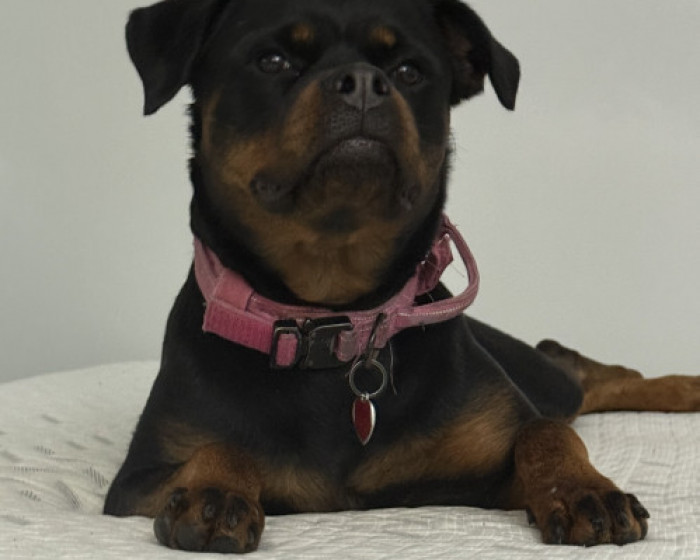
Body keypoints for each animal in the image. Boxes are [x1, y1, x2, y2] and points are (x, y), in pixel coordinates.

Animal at [104, 0, 700, 553]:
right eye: (272, 61)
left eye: (411, 71)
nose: (365, 82)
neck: (333, 322)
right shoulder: (134, 486)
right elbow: (222, 446)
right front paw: (215, 493)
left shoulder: (484, 475)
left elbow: (544, 432)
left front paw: (582, 490)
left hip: (542, 379)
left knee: (580, 377)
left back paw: (682, 387)